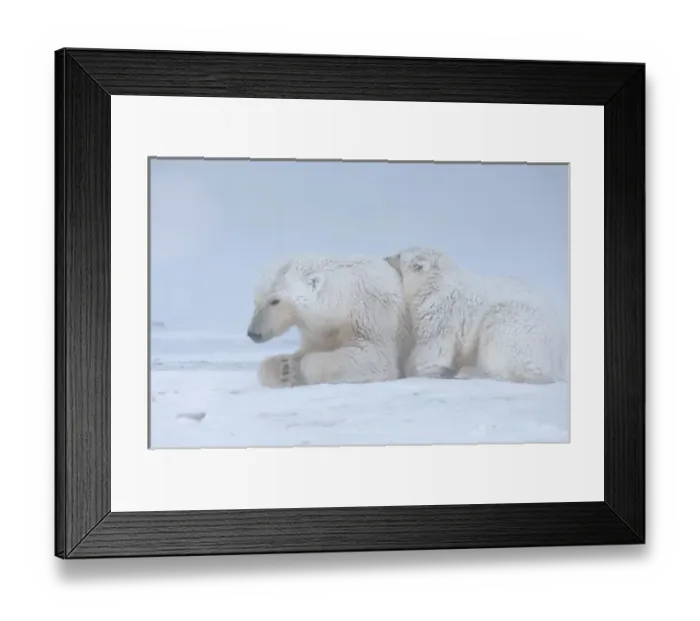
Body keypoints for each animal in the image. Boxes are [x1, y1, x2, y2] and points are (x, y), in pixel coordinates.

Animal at [247, 254, 413, 388]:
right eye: (256, 301)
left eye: (275, 301)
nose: (253, 333)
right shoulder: (318, 331)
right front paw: (285, 369)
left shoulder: (371, 316)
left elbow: (376, 357)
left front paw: (298, 369)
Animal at [384, 246, 567, 384]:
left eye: (399, 255)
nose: (385, 257)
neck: (435, 282)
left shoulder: (443, 310)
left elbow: (433, 346)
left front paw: (417, 368)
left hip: (516, 323)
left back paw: (466, 372)